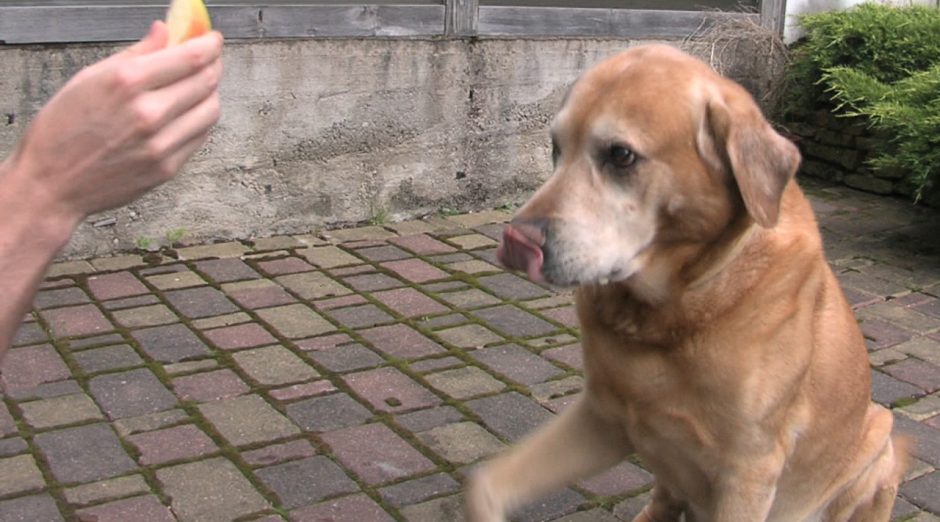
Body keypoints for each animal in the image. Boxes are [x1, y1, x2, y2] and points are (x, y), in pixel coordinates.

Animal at [470, 44, 912, 520]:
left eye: (621, 155)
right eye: (555, 147)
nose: (516, 243)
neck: (665, 315)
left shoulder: (749, 472)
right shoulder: (603, 416)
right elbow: (484, 484)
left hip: (881, 439)